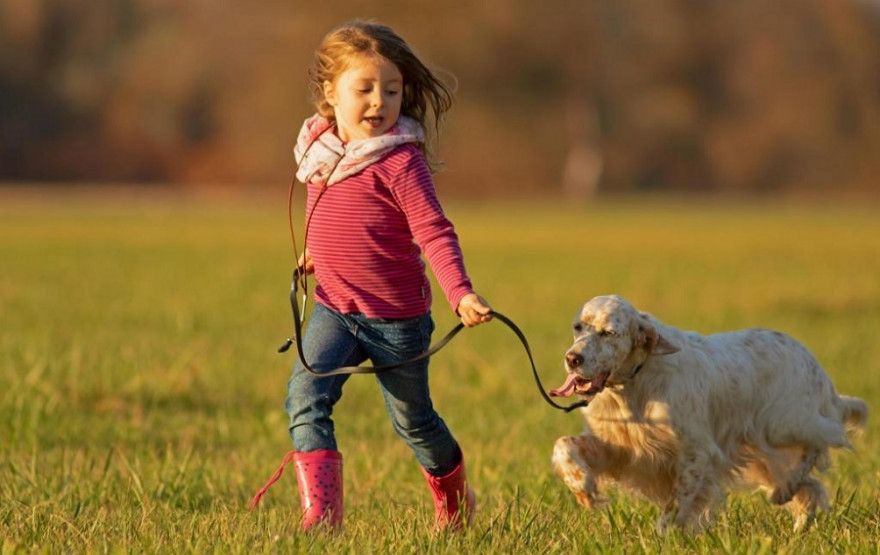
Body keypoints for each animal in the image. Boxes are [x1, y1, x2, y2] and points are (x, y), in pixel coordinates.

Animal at [552, 296, 868, 536]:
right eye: (578, 327)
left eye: (609, 333)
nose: (572, 359)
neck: (635, 384)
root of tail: (813, 362)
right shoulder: (619, 446)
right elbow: (564, 446)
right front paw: (582, 487)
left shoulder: (697, 453)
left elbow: (677, 504)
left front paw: (662, 537)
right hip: (766, 459)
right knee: (810, 488)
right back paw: (794, 515)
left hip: (783, 425)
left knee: (820, 441)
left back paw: (786, 490)